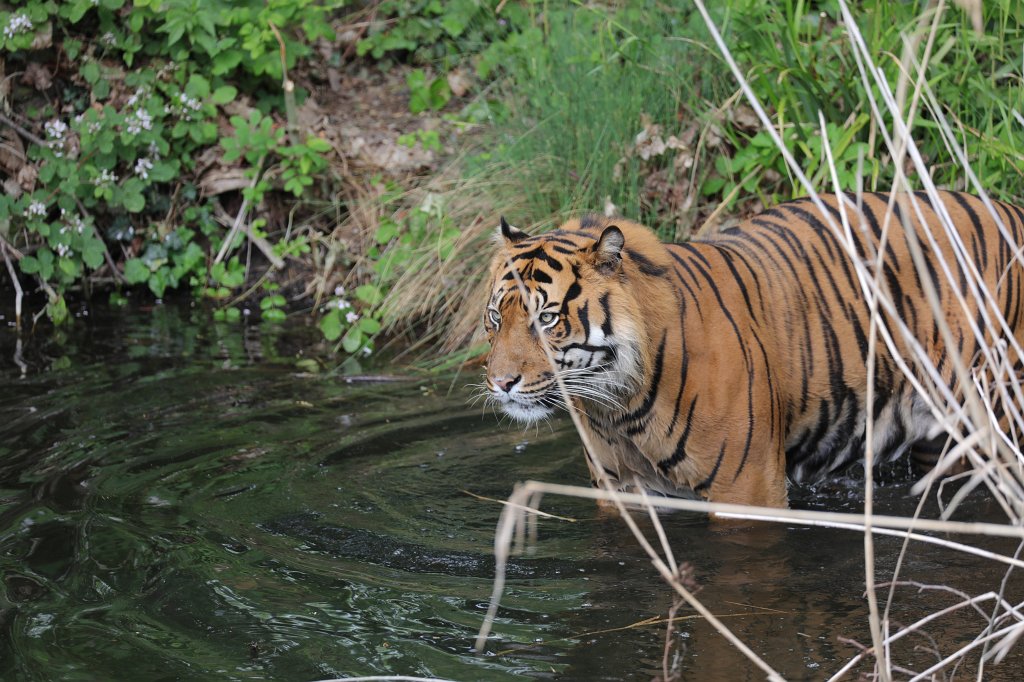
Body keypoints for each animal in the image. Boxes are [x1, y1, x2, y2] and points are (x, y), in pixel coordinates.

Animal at [482, 191, 1024, 509]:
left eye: (546, 319)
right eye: (495, 318)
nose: (500, 383)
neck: (617, 406)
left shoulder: (749, 490)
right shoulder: (622, 494)